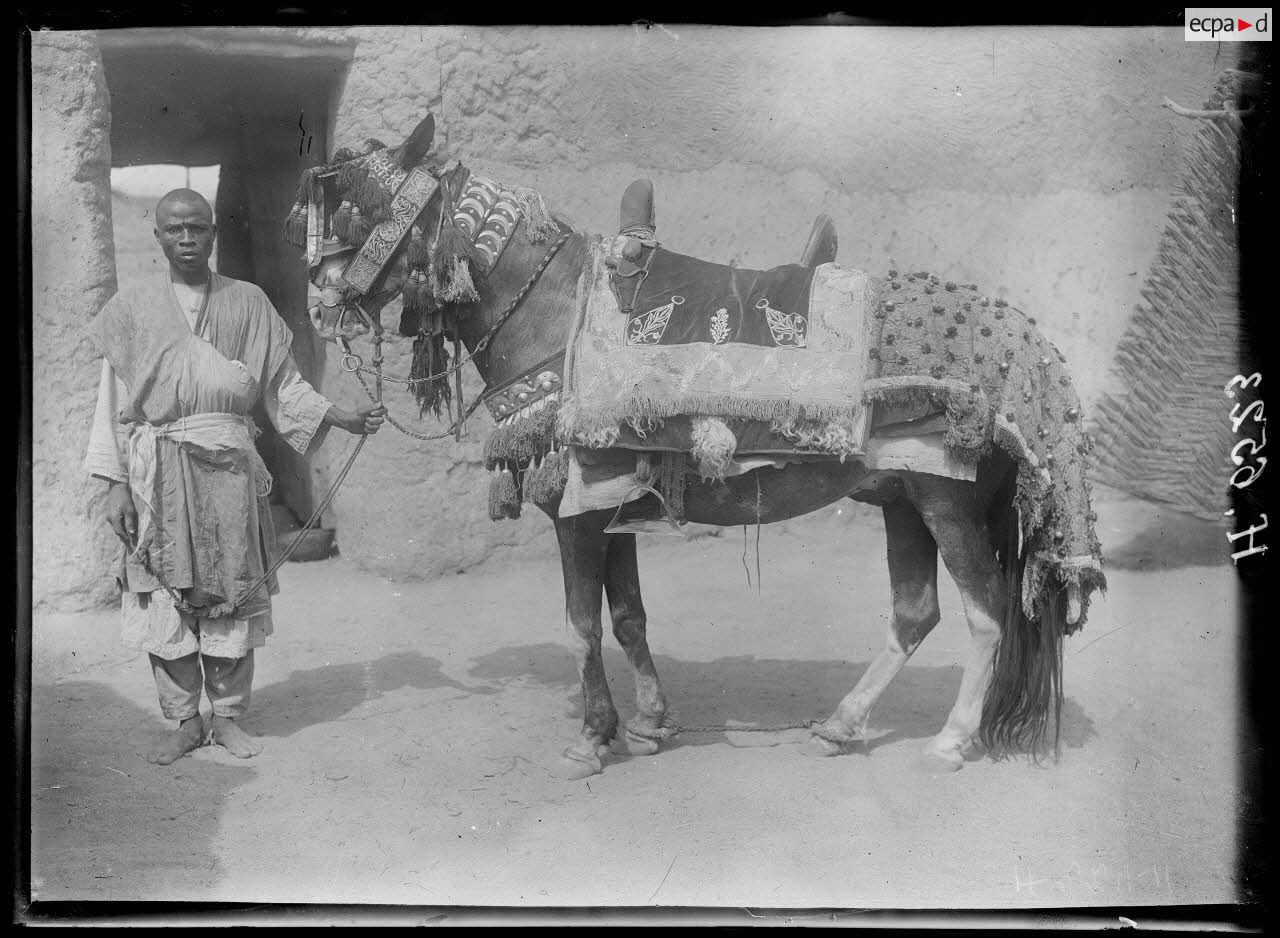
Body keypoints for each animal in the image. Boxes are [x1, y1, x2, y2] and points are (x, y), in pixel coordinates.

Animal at [285, 115, 1105, 778]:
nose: (316, 299)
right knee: (916, 613)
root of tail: (1029, 346)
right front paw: (647, 724)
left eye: (353, 204)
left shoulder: (575, 510)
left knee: (987, 613)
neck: (556, 315)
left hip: (947, 501)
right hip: (904, 496)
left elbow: (581, 624)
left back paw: (949, 741)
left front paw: (590, 740)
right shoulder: (609, 502)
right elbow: (627, 617)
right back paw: (840, 726)